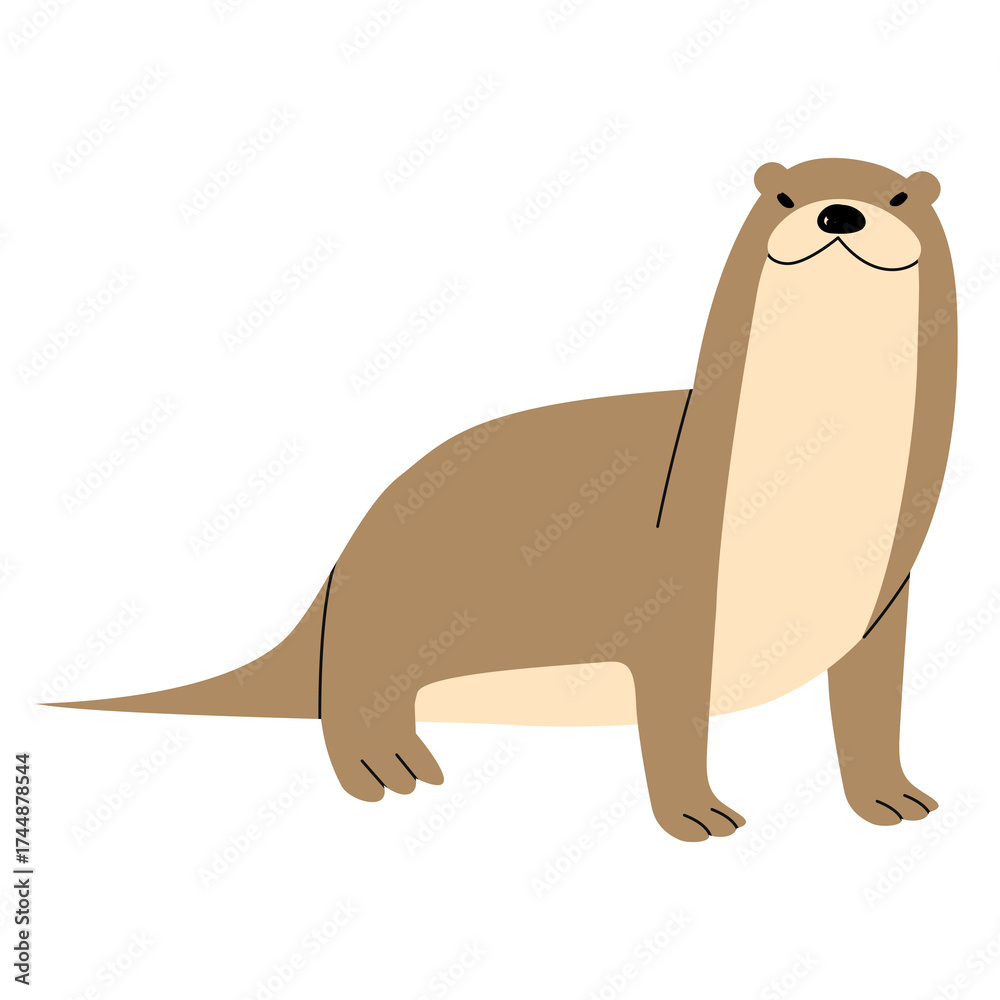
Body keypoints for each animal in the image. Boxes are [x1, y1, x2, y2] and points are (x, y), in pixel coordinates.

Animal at [48, 158, 957, 842]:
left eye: (901, 198)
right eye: (783, 197)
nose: (840, 213)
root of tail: (341, 569)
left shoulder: (886, 598)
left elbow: (873, 712)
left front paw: (892, 798)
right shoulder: (677, 598)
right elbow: (673, 727)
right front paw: (695, 815)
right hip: (388, 615)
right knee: (349, 692)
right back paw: (385, 771)